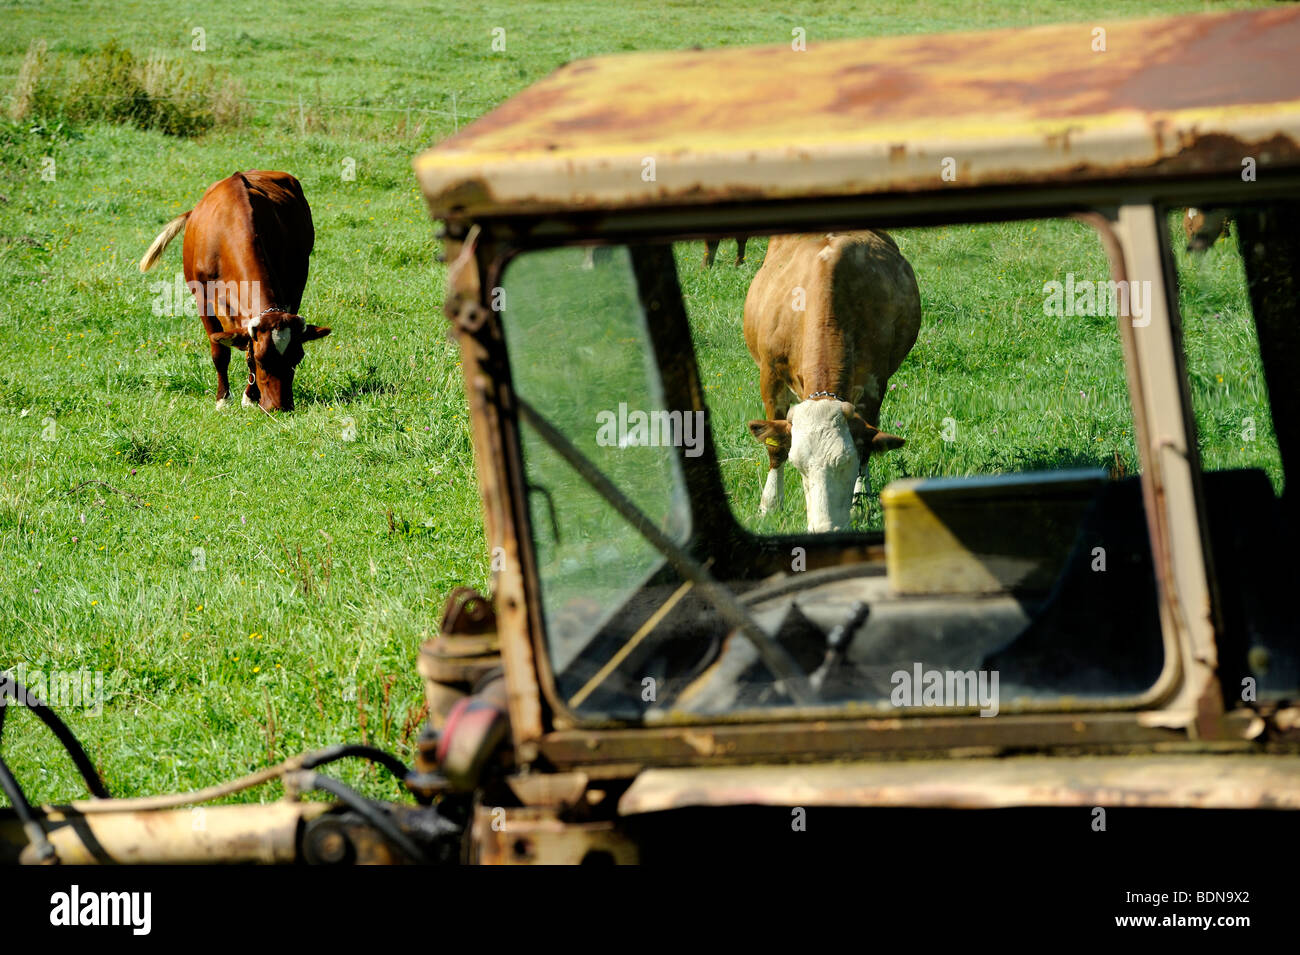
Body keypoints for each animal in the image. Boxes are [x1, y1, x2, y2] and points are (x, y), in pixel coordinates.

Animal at [139, 170, 329, 412]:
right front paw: (223, 399)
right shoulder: (203, 300)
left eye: (298, 357)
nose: (281, 406)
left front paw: (250, 397)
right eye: (262, 359)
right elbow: (220, 352)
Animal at [744, 231, 920, 533]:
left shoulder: (874, 383)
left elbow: (868, 445)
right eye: (799, 466)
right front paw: (770, 505)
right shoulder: (770, 376)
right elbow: (775, 448)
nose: (825, 529)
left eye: (846, 462)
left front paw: (859, 503)